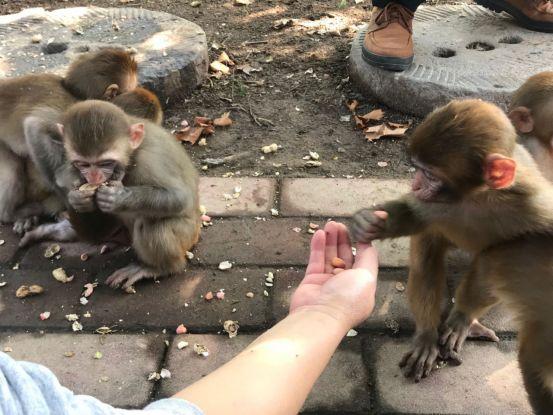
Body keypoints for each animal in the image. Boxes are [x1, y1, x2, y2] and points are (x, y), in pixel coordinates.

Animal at [24, 100, 201, 290]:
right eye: (83, 164)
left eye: (105, 163)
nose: (94, 177)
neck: (131, 155)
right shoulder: (72, 171)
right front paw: (78, 200)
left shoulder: (151, 159)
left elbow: (180, 198)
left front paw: (119, 198)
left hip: (187, 235)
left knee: (153, 224)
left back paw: (158, 268)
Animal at [352, 101, 552, 412]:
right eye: (417, 169)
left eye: (431, 174)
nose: (415, 183)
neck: (477, 198)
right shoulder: (435, 205)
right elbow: (414, 217)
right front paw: (368, 223)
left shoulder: (534, 205)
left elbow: (505, 255)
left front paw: (462, 317)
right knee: (429, 252)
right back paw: (427, 335)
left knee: (496, 254)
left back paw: (465, 320)